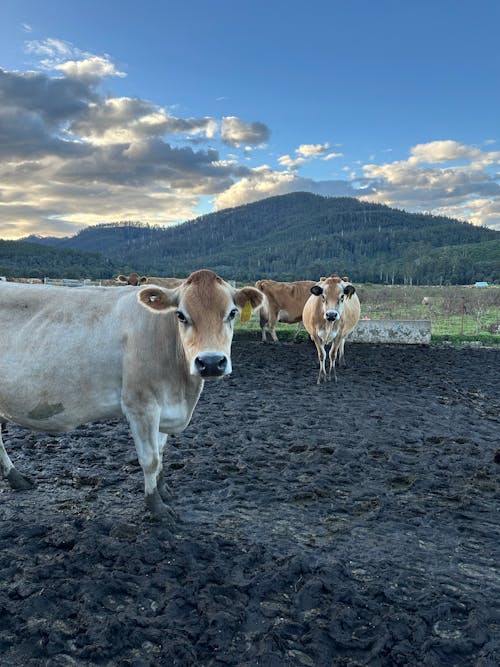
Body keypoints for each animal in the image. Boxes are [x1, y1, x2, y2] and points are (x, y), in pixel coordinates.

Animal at [0, 270, 264, 520]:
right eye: (181, 315)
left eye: (232, 313)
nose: (210, 362)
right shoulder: (141, 405)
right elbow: (150, 459)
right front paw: (156, 506)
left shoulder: (164, 407)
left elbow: (161, 452)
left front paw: (164, 489)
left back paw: (16, 478)